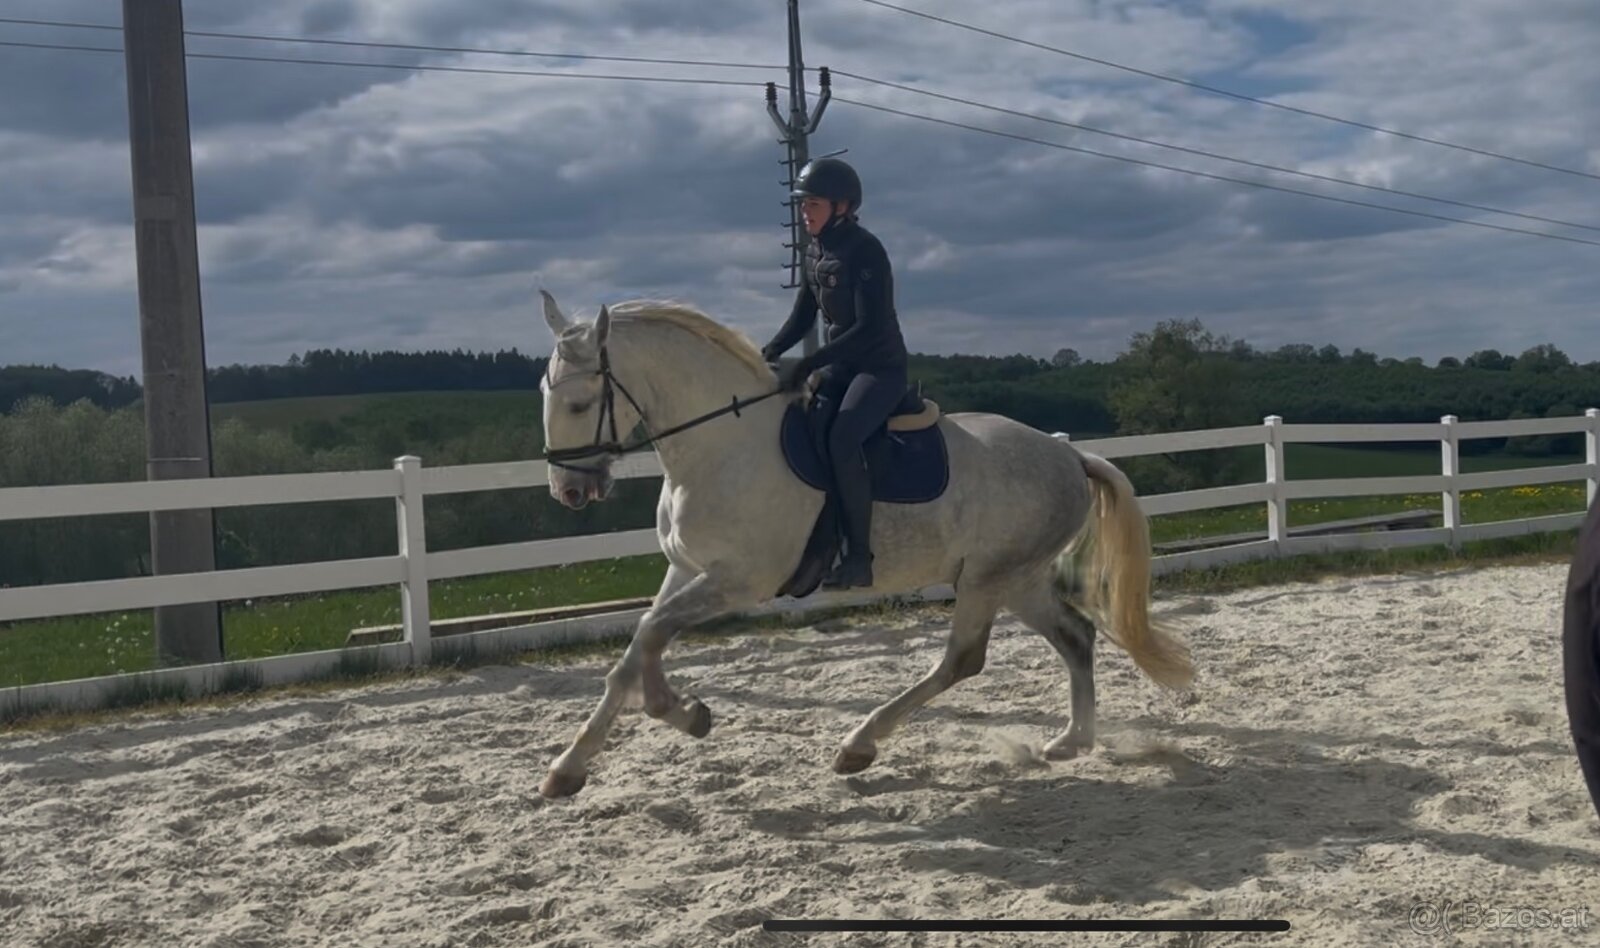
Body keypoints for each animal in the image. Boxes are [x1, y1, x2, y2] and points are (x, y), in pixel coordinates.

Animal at [533, 290, 1194, 799]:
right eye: (545, 394)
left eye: (580, 403)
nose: (569, 490)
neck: (720, 446)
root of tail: (1070, 455)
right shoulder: (684, 569)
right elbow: (631, 656)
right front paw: (567, 769)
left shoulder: (738, 580)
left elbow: (648, 637)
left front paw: (685, 713)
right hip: (1018, 579)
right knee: (1074, 636)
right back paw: (1071, 741)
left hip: (988, 578)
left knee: (963, 660)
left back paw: (859, 745)